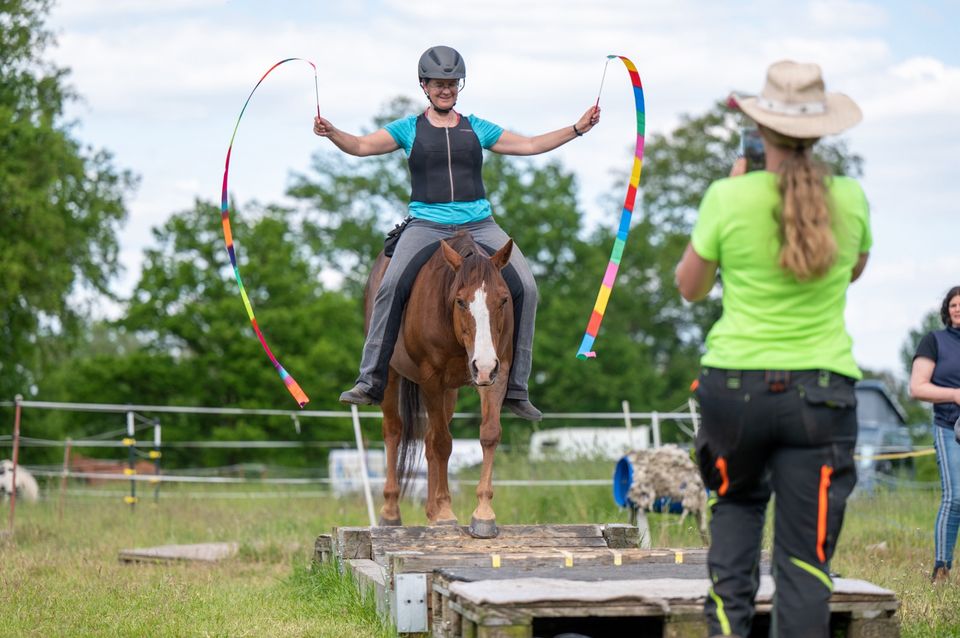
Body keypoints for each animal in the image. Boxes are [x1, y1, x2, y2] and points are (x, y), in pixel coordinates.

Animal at [364, 231, 512, 540]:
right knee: (394, 431)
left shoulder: (496, 369)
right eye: (460, 301)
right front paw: (445, 513)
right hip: (394, 377)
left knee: (429, 440)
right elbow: (444, 443)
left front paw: (482, 513)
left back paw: (431, 510)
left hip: (451, 391)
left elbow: (489, 434)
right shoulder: (431, 377)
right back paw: (390, 512)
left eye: (504, 300)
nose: (482, 365)